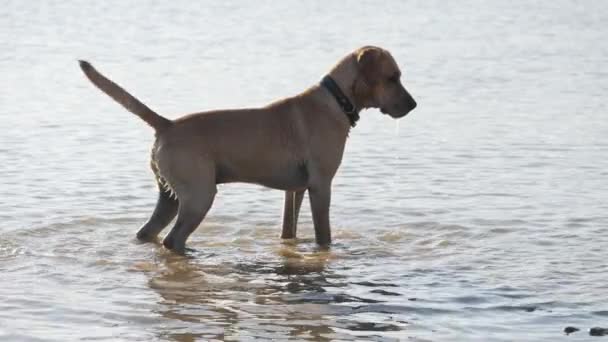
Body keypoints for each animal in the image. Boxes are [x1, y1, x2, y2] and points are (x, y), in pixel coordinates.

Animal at [78, 46, 416, 254]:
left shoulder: (295, 190)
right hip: (200, 196)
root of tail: (167, 125)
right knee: (173, 240)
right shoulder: (321, 186)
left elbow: (288, 230)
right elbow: (324, 234)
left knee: (148, 233)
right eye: (393, 77)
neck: (337, 100)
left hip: (170, 197)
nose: (413, 105)